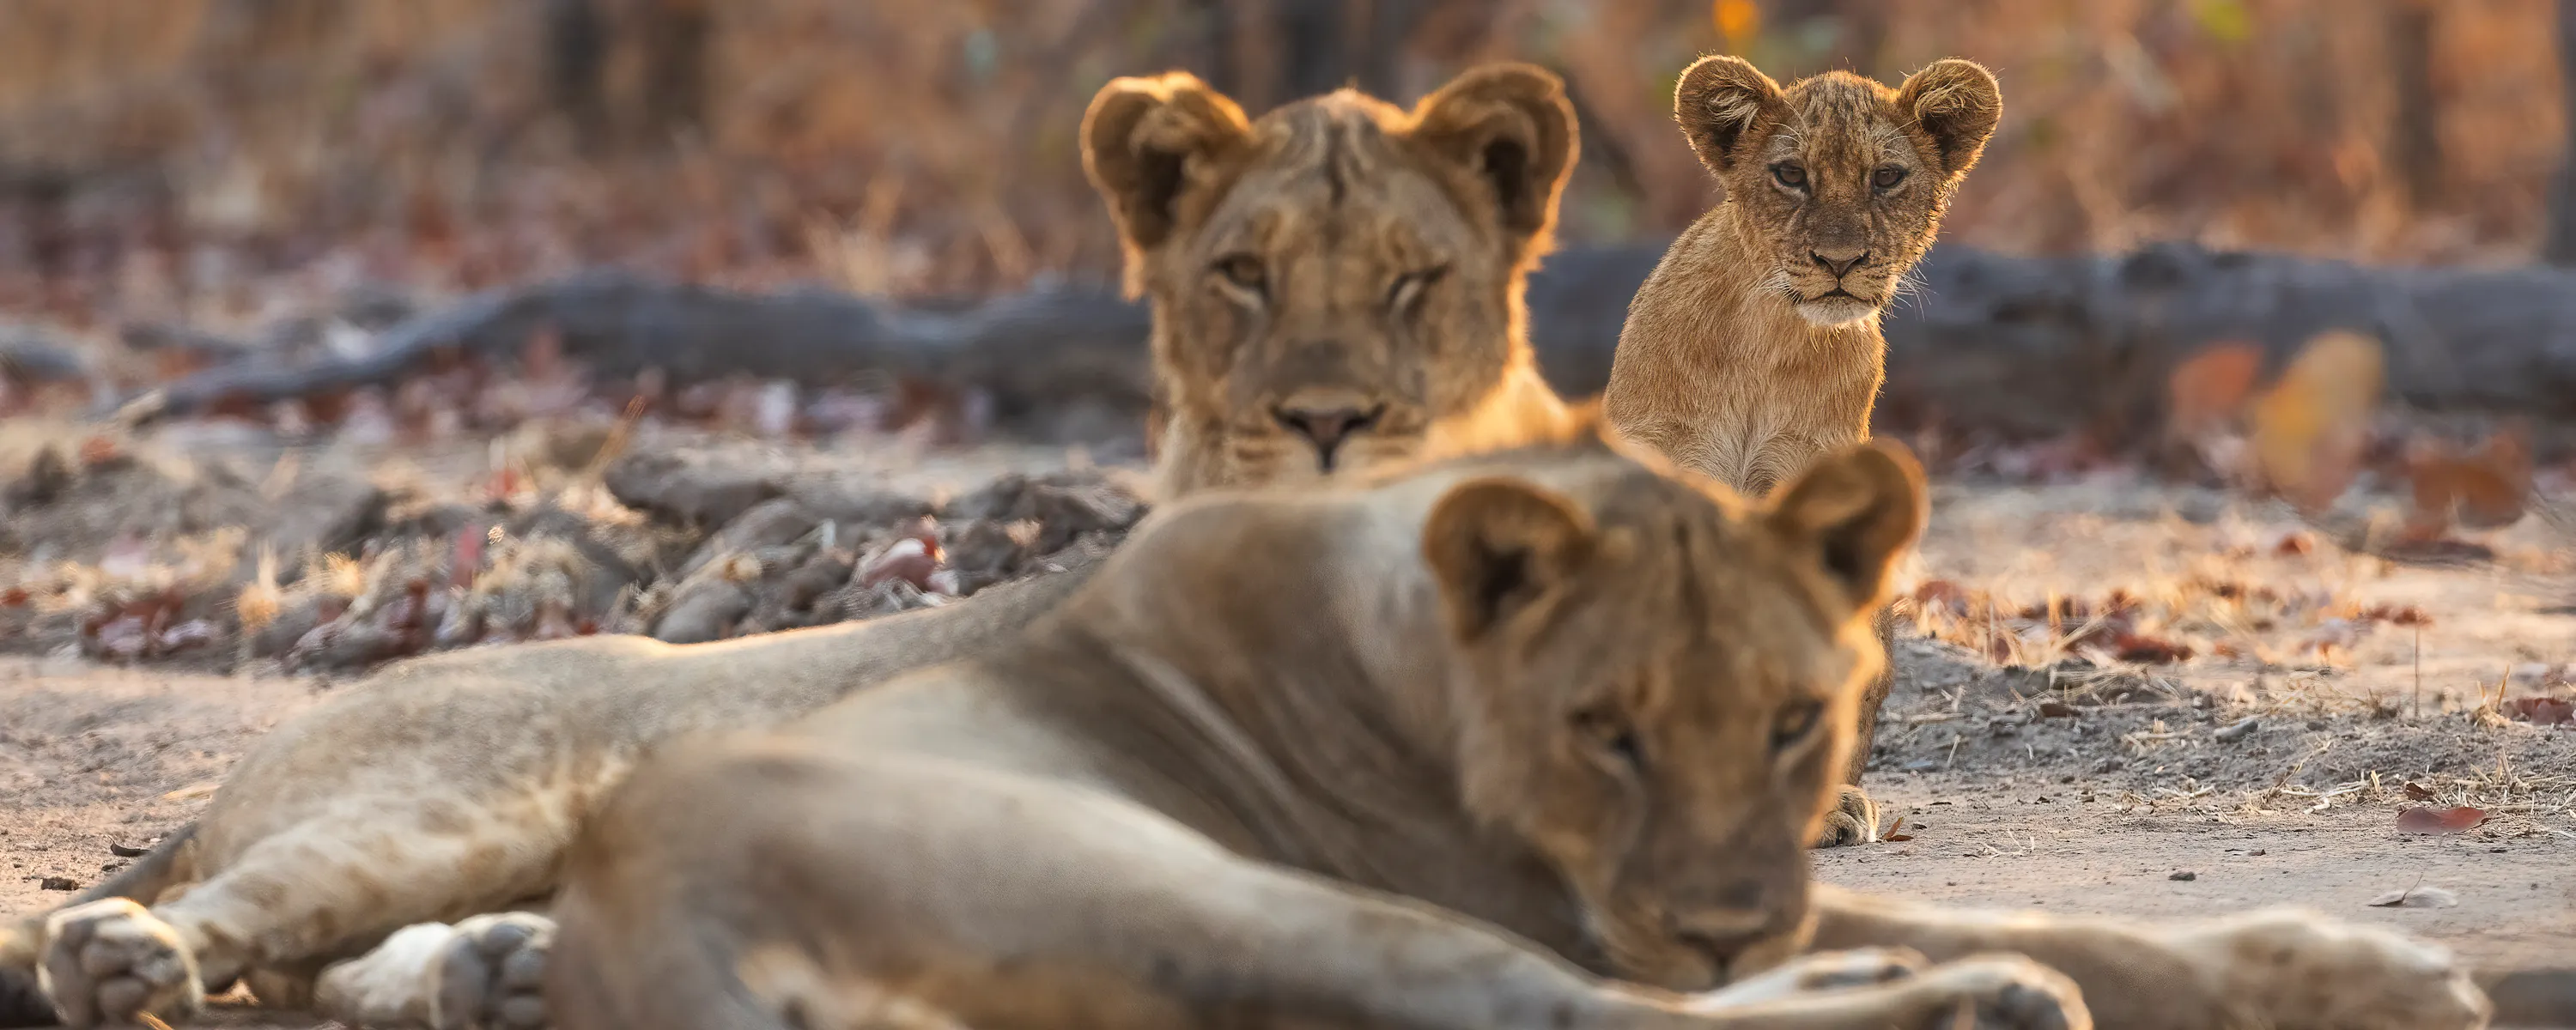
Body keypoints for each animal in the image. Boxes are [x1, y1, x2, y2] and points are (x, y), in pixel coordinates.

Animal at [0, 63, 1598, 1030]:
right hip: (471, 790)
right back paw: (137, 957)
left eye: (1413, 284)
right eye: (1242, 278)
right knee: (254, 916)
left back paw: (500, 969)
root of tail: (247, 766)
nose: (1328, 422)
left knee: (342, 970)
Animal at [495, 426, 2485, 1030]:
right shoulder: (1552, 893)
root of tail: (636, 917)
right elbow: (2047, 915)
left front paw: (2363, 974)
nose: (1725, 924)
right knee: (1557, 1019)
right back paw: (1966, 1002)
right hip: (1194, 885)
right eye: (1607, 728)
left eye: (1797, 721)